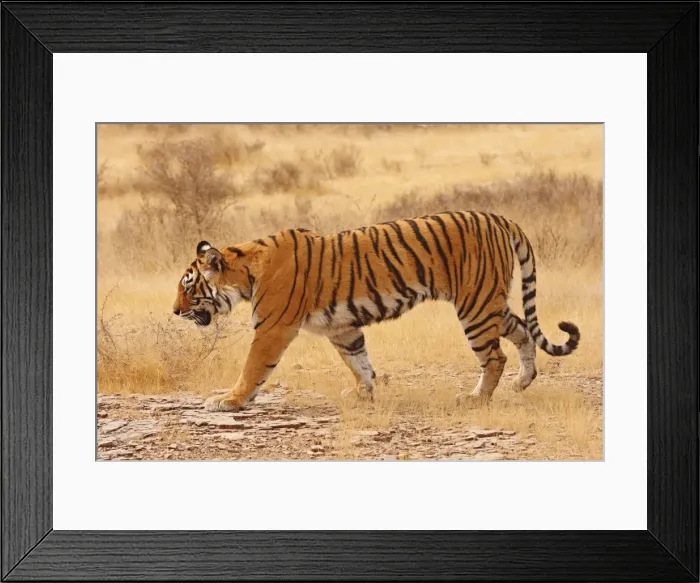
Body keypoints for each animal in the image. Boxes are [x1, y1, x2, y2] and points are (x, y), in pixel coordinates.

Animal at [172, 211, 580, 412]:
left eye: (189, 288)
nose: (175, 312)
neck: (246, 269)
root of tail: (500, 218)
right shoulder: (342, 328)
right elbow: (359, 362)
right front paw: (362, 394)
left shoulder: (273, 328)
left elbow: (253, 369)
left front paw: (228, 401)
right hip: (490, 302)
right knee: (523, 332)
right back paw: (522, 382)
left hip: (475, 306)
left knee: (494, 357)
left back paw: (475, 400)